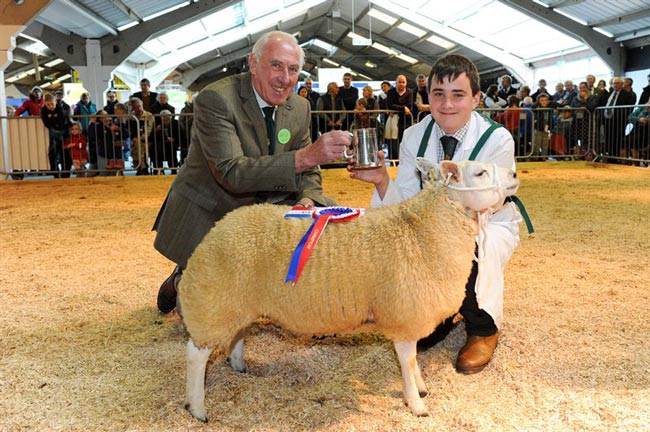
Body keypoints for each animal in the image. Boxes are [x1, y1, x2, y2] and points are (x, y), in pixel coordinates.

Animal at [178, 160, 520, 420]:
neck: (422, 229)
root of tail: (214, 231)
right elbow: (407, 362)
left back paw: (238, 365)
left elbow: (412, 363)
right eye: (479, 173)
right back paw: (197, 408)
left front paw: (421, 388)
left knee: (237, 333)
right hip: (214, 301)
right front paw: (416, 403)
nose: (515, 175)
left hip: (236, 301)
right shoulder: (404, 314)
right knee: (195, 354)